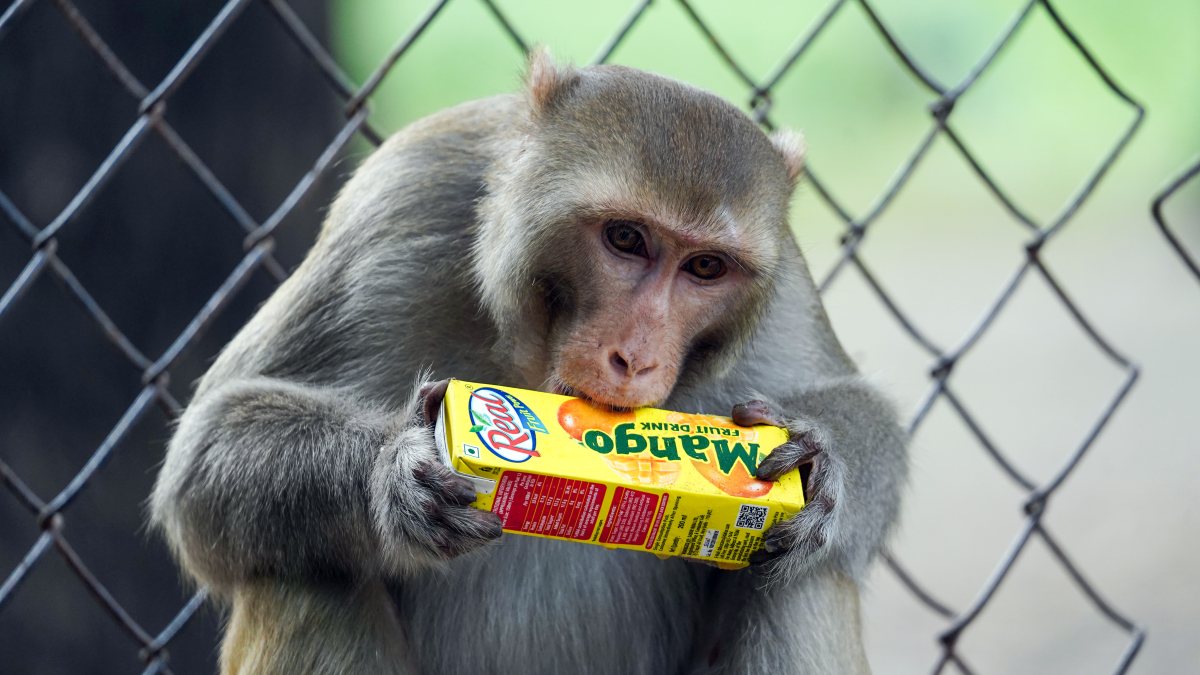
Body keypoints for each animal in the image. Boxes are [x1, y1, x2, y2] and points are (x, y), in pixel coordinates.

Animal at [150, 50, 907, 675]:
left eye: (705, 267)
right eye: (625, 238)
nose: (634, 357)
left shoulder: (783, 279)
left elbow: (859, 416)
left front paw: (819, 464)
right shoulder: (404, 197)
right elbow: (204, 459)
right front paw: (393, 471)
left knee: (804, 575)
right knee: (301, 572)